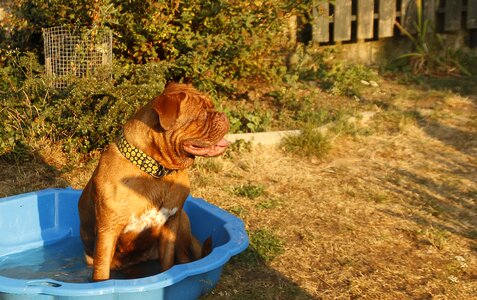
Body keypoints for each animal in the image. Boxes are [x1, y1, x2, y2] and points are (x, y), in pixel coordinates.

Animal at [77, 82, 229, 282]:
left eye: (211, 106)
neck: (156, 170)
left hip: (183, 221)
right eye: (202, 114)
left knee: (184, 258)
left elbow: (168, 263)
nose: (223, 115)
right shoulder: (108, 230)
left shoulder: (171, 223)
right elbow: (101, 270)